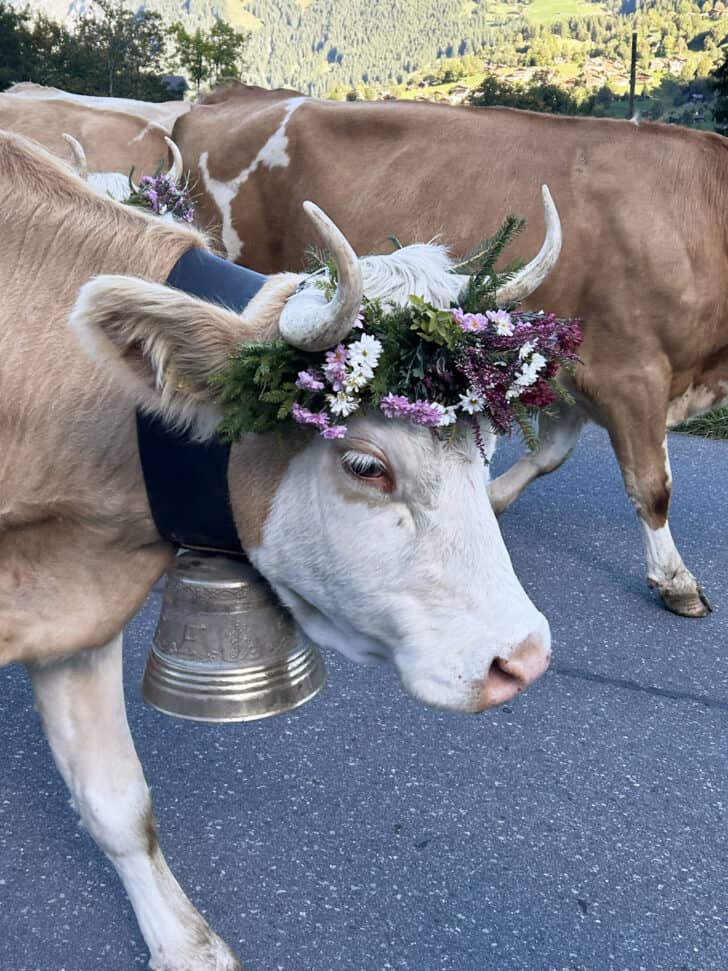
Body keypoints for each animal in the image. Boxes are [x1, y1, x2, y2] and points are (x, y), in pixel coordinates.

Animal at [1, 129, 559, 970]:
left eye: (488, 442)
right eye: (365, 463)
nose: (522, 657)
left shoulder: (76, 609)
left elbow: (118, 801)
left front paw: (184, 944)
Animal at [171, 82, 728, 619]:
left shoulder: (575, 373)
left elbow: (550, 454)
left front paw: (491, 499)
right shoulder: (630, 371)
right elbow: (652, 485)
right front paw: (676, 581)